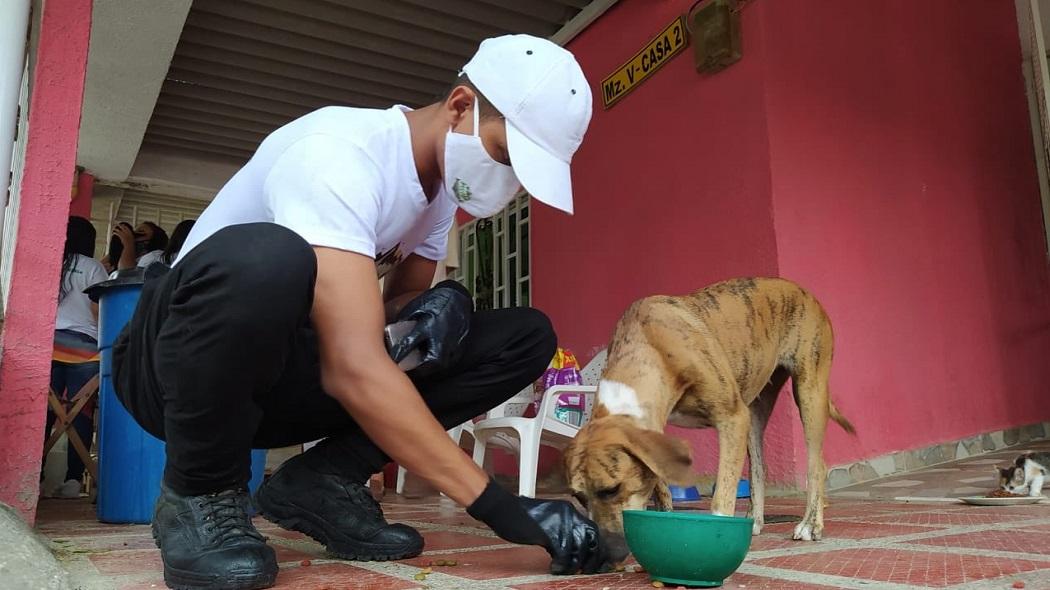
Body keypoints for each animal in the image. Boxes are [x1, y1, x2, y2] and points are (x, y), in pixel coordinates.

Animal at [567, 275, 852, 558]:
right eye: (579, 498)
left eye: (611, 489)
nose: (602, 552)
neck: (650, 345)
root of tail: (805, 292)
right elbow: (660, 487)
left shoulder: (732, 417)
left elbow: (722, 492)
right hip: (755, 412)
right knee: (759, 468)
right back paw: (756, 521)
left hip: (808, 391)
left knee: (816, 464)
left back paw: (810, 524)